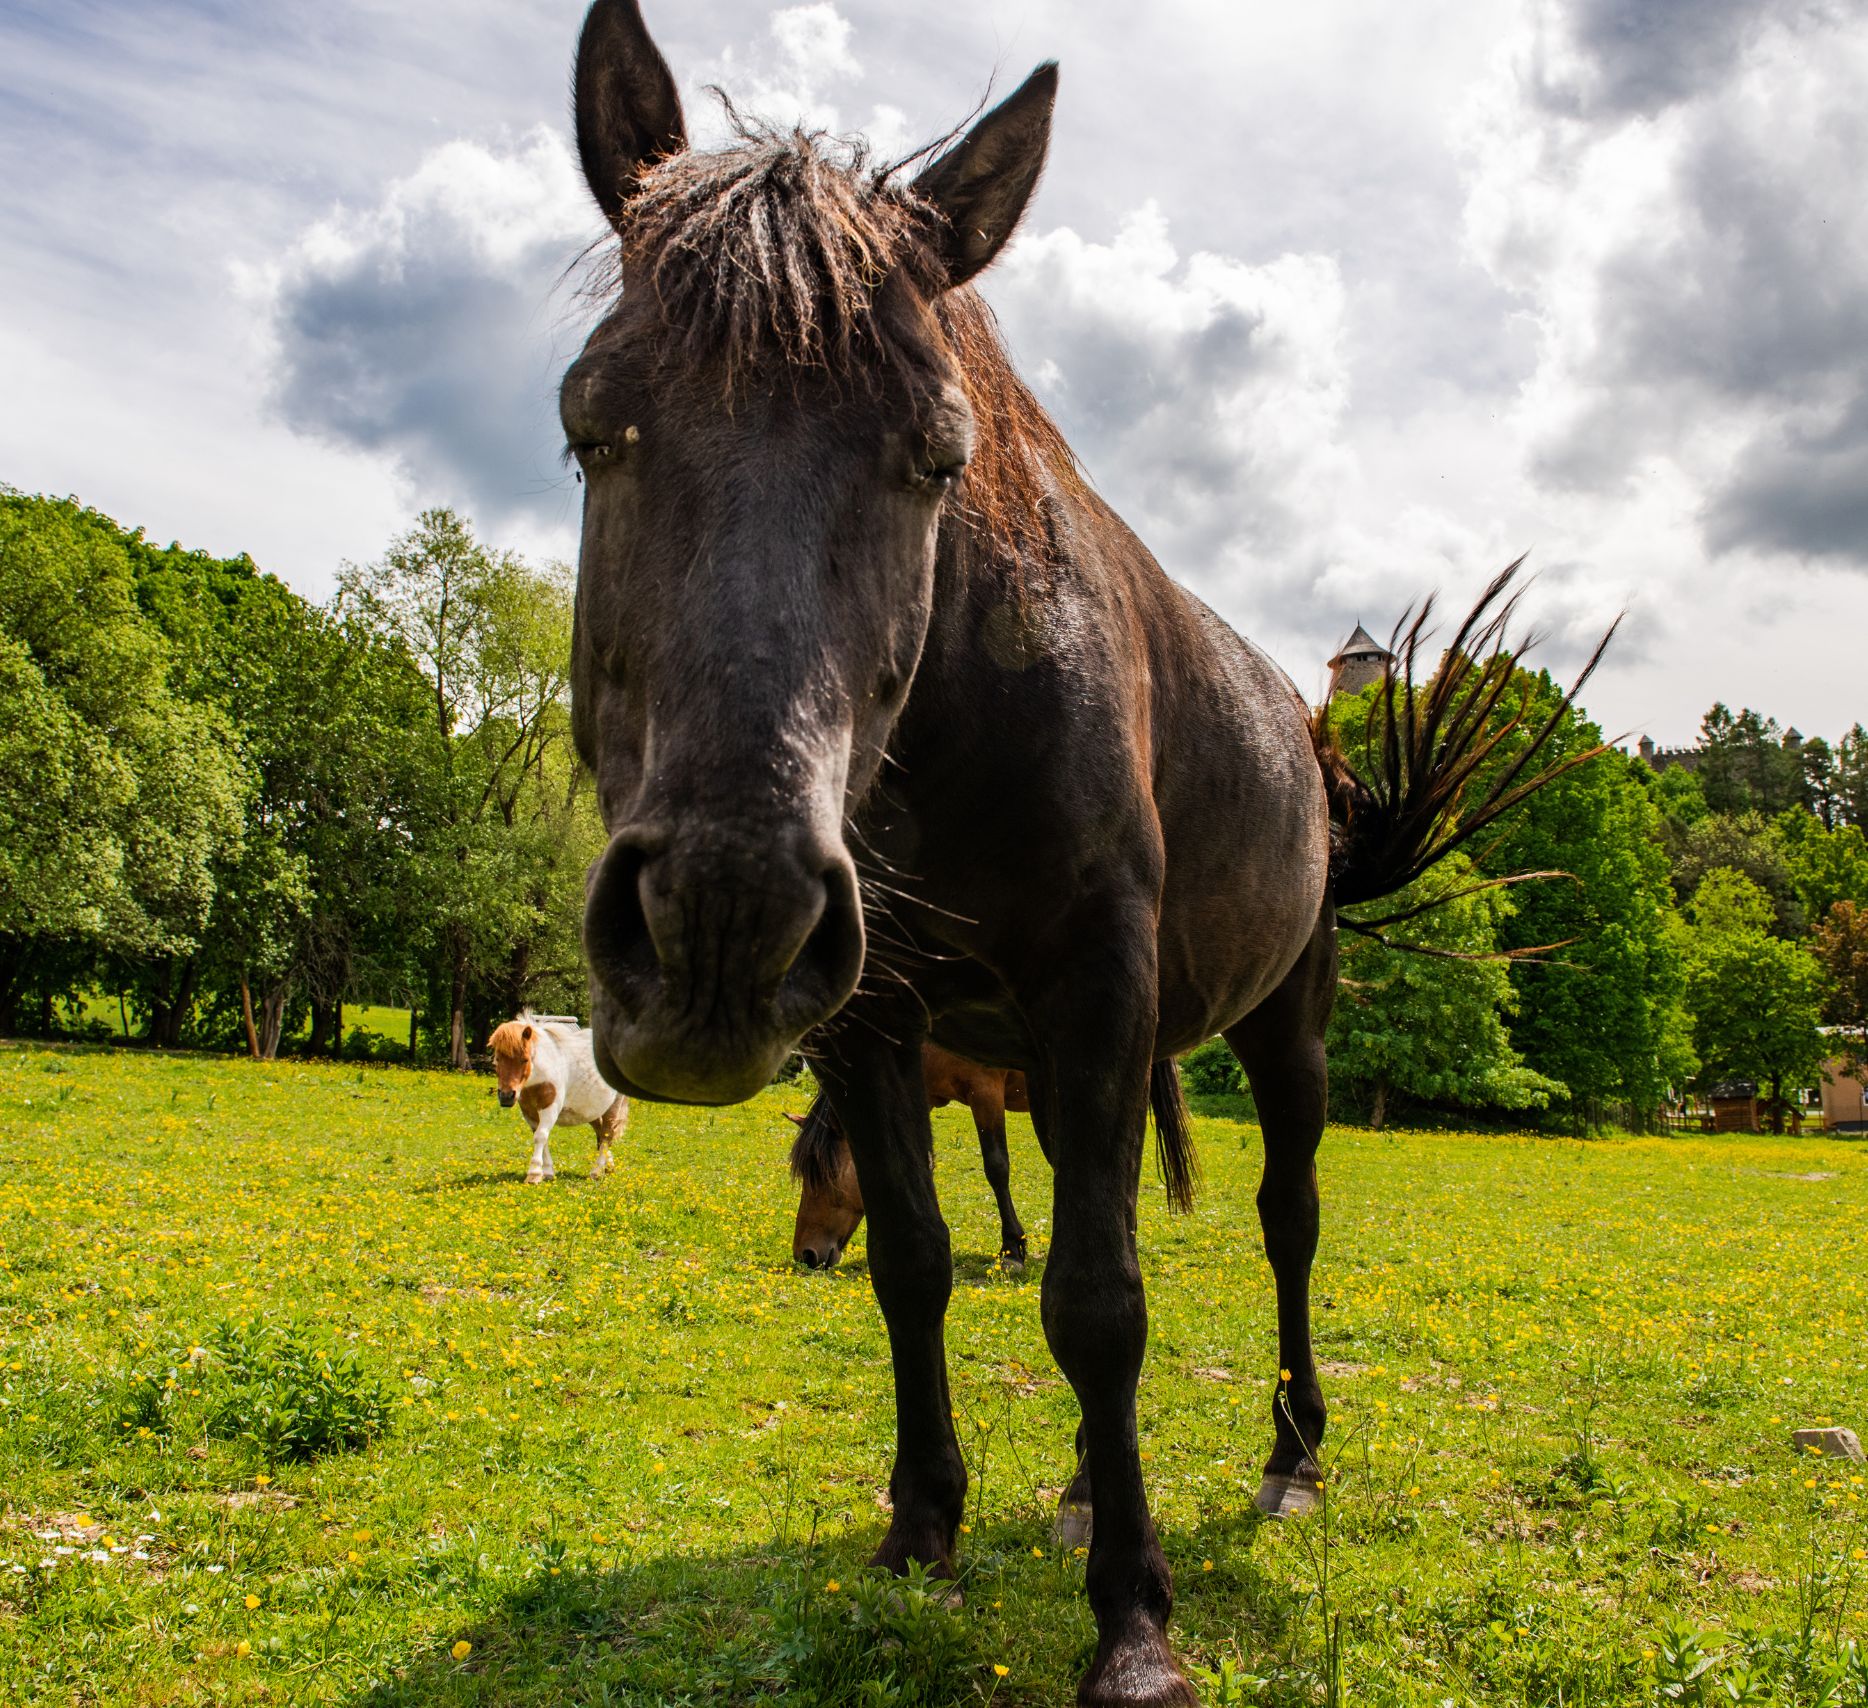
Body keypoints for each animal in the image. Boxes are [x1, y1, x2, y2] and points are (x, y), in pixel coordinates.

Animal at [487, 1013, 629, 1184]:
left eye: (525, 1059)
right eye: (497, 1059)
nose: (506, 1096)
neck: (540, 1074)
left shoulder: (550, 1107)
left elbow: (540, 1136)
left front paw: (534, 1174)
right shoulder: (529, 1112)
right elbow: (542, 1137)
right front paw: (547, 1172)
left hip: (614, 1105)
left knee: (607, 1134)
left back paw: (596, 1171)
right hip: (592, 1110)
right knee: (601, 1134)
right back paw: (609, 1167)